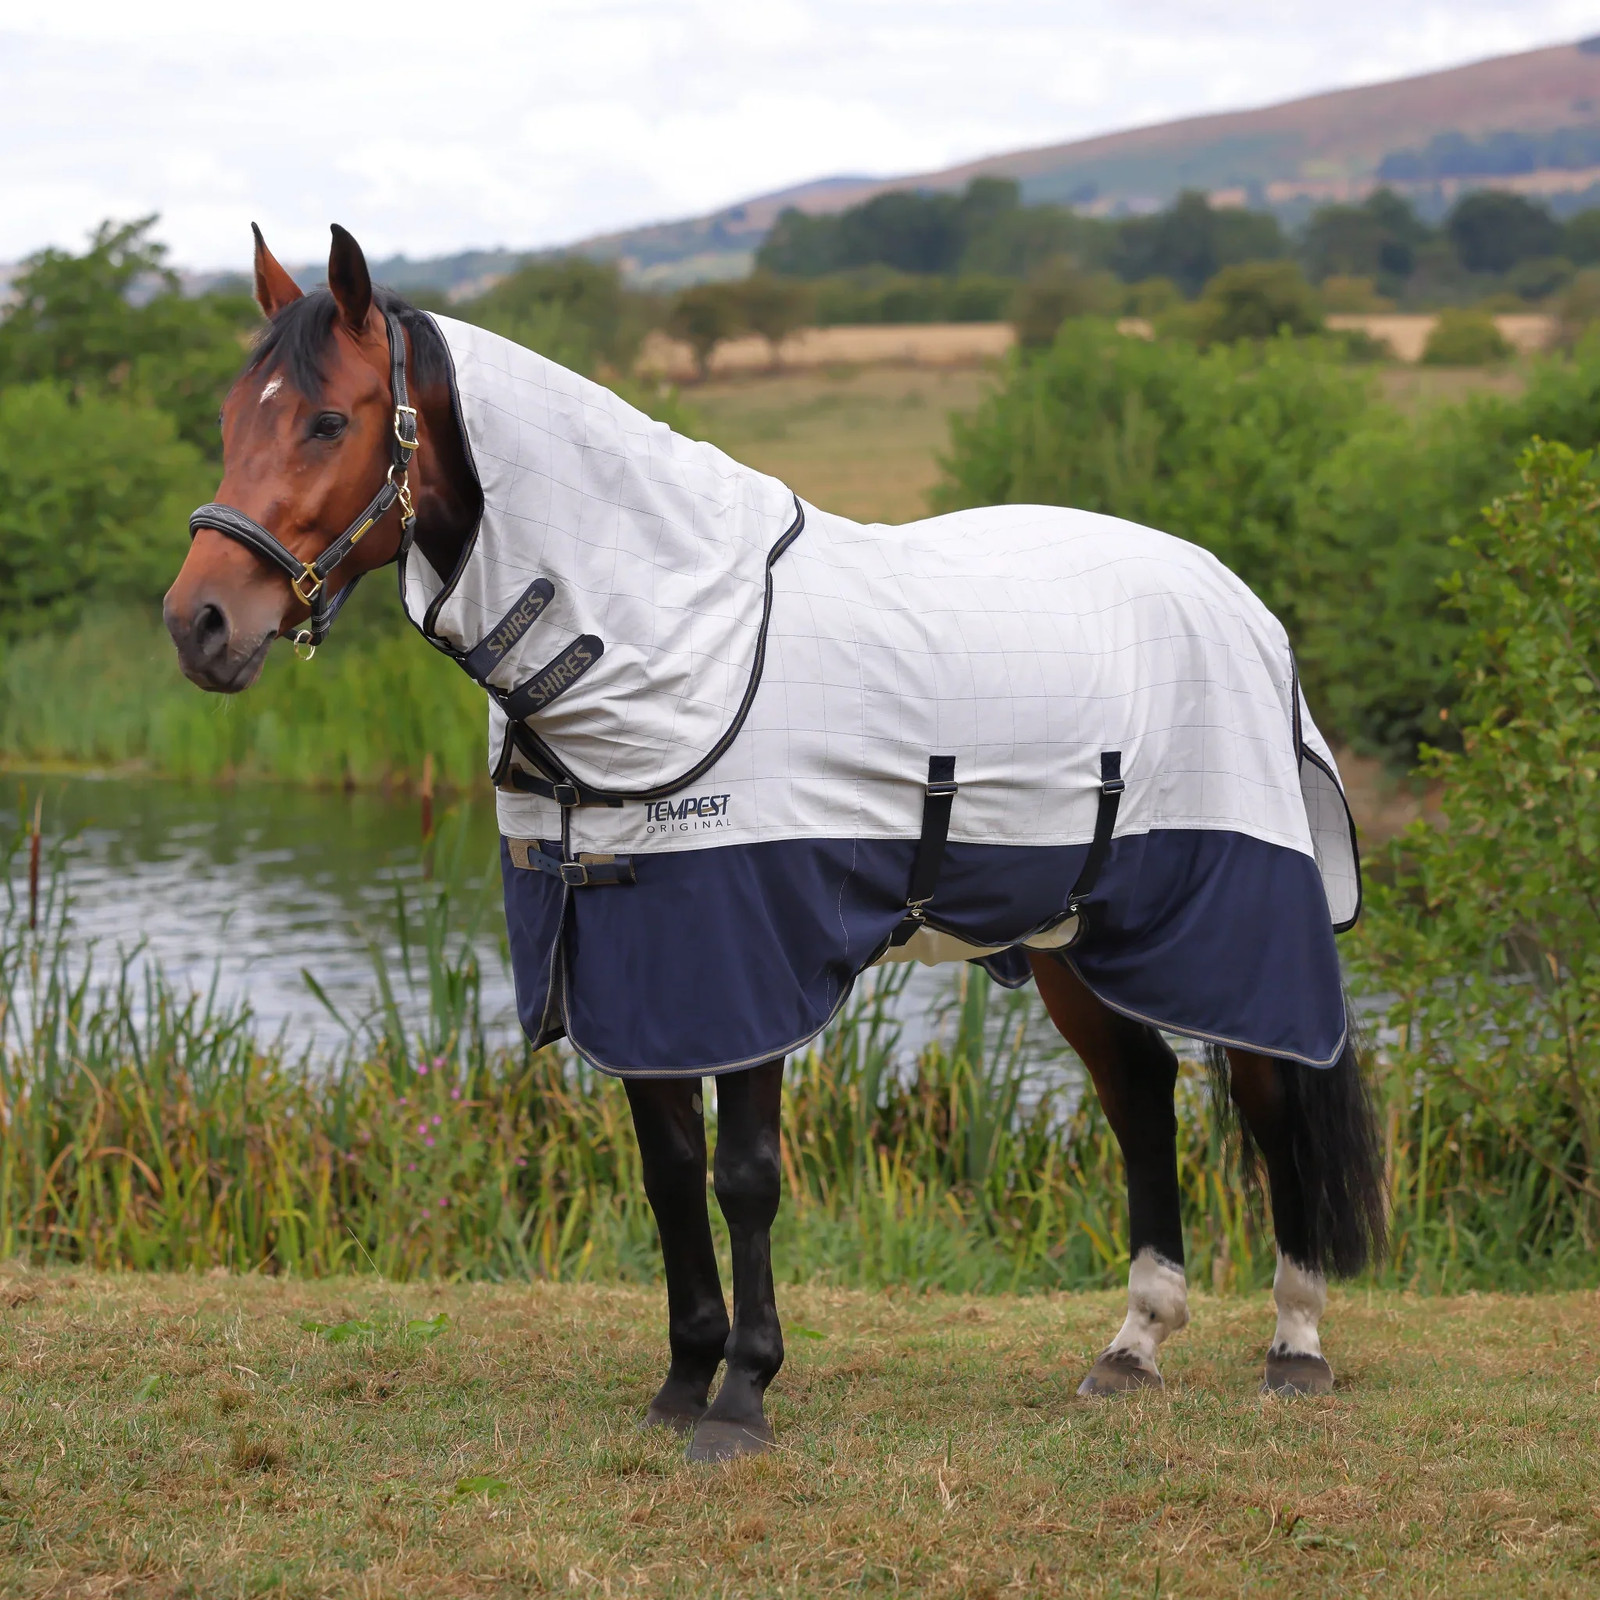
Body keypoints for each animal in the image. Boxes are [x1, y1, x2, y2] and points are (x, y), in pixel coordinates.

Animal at [165, 223, 1385, 1463]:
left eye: (328, 420)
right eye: (230, 418)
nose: (199, 623)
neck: (658, 631)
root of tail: (1238, 601)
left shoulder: (747, 955)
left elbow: (744, 1176)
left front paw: (742, 1394)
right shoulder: (629, 956)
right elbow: (669, 1174)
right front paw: (681, 1377)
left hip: (1229, 917)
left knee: (1273, 1090)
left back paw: (1295, 1342)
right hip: (1072, 938)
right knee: (1140, 1093)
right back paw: (1132, 1345)